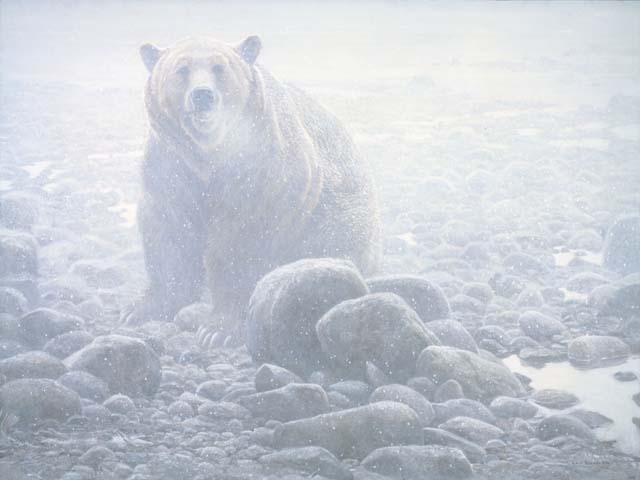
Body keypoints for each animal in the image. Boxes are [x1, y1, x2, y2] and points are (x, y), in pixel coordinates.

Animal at [123, 35, 380, 341]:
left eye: (219, 67)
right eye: (181, 69)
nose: (202, 95)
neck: (207, 155)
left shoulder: (261, 169)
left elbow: (242, 239)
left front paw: (218, 328)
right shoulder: (170, 165)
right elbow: (169, 232)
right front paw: (143, 308)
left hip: (339, 212)